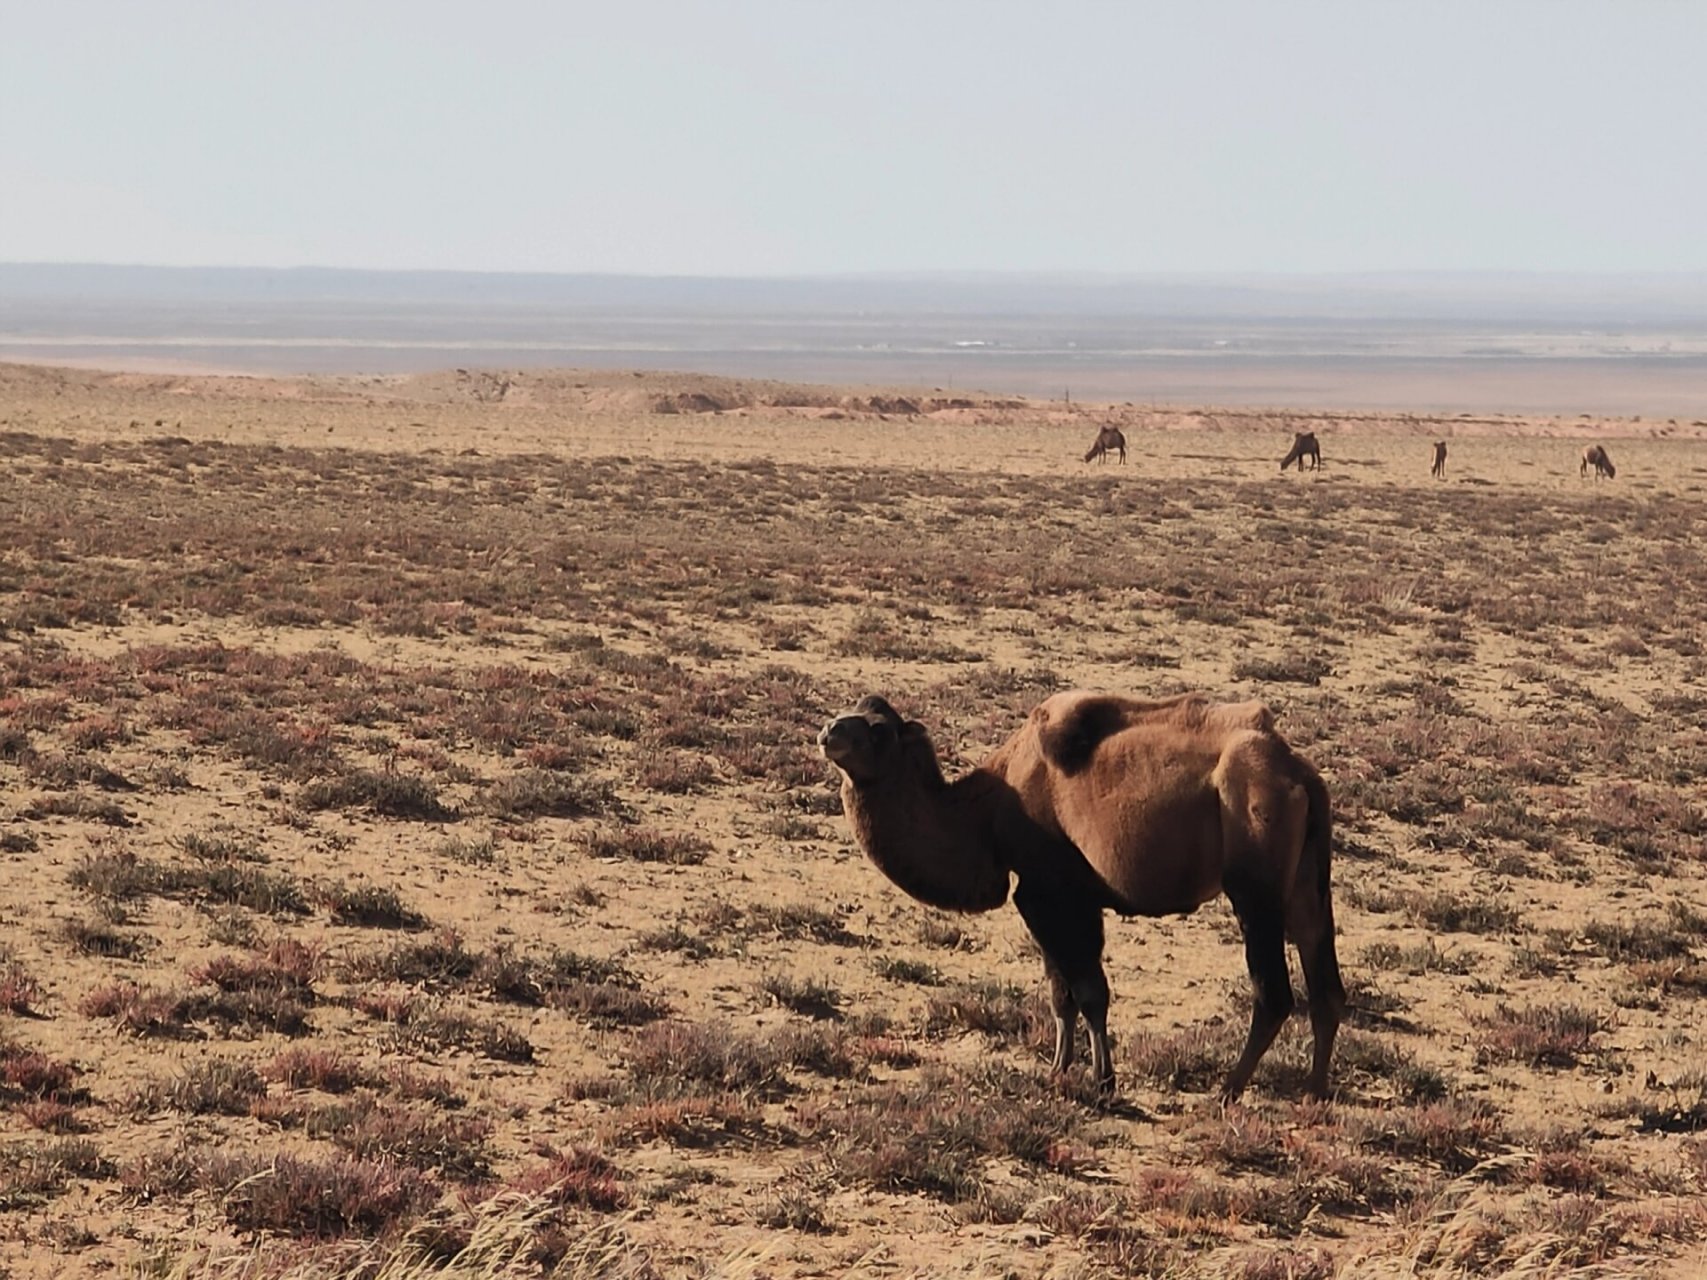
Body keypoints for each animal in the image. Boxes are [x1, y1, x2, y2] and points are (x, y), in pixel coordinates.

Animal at [815, 692, 1345, 1105]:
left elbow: (1089, 992)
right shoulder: (1062, 896)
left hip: (1255, 876)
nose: (828, 731)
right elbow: (1061, 993)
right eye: (856, 709)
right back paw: (1314, 1093)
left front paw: (1103, 1081)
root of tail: (1301, 777)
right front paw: (1058, 1070)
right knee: (1324, 980)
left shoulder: (1050, 890)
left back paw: (1228, 1091)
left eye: (879, 731)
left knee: (1274, 992)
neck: (988, 809)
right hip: (1306, 881)